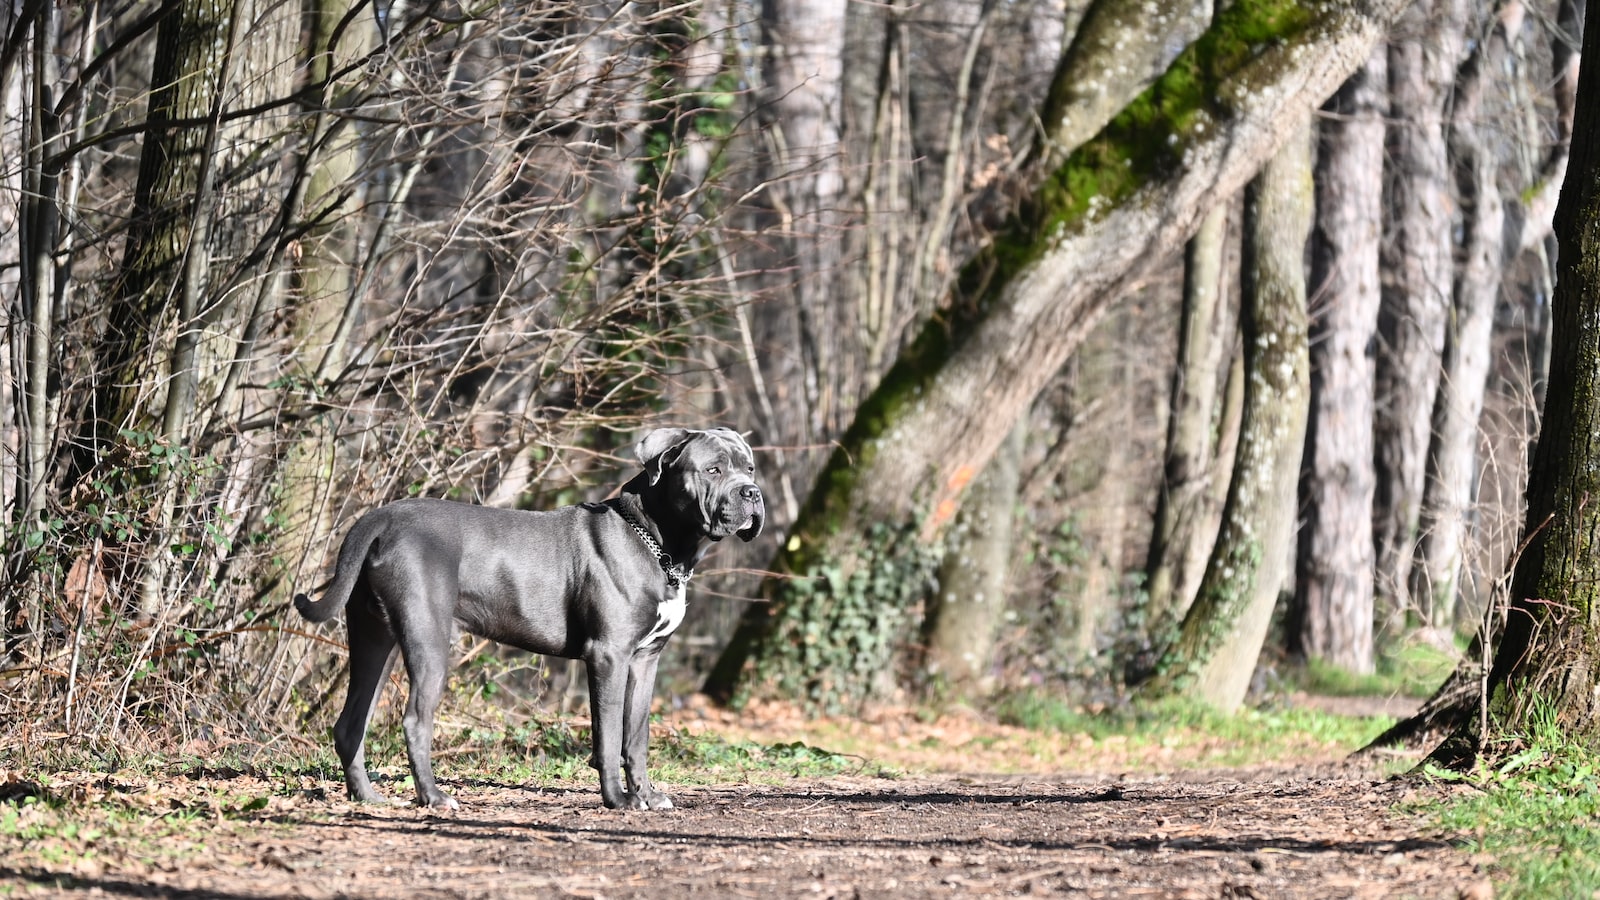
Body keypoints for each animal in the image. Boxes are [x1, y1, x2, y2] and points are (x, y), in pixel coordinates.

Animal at [296, 422, 768, 810]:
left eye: (749, 467)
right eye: (712, 470)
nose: (752, 493)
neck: (658, 541)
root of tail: (380, 516)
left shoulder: (645, 661)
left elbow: (636, 736)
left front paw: (647, 796)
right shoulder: (609, 655)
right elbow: (609, 734)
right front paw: (618, 799)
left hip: (377, 639)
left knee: (351, 723)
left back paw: (367, 797)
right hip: (427, 640)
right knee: (414, 721)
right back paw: (433, 797)